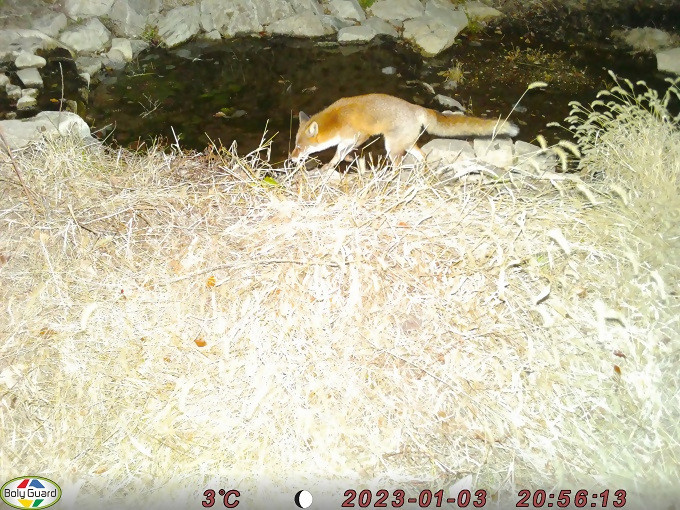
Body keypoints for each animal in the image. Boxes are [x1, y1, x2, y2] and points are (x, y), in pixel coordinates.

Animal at [290, 93, 516, 169]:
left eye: (300, 147)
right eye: (295, 145)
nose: (291, 158)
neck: (337, 119)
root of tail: (417, 108)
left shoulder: (360, 135)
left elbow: (342, 151)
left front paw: (339, 161)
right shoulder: (346, 140)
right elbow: (339, 154)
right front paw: (331, 166)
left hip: (392, 147)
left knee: (399, 165)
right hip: (405, 144)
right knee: (423, 156)